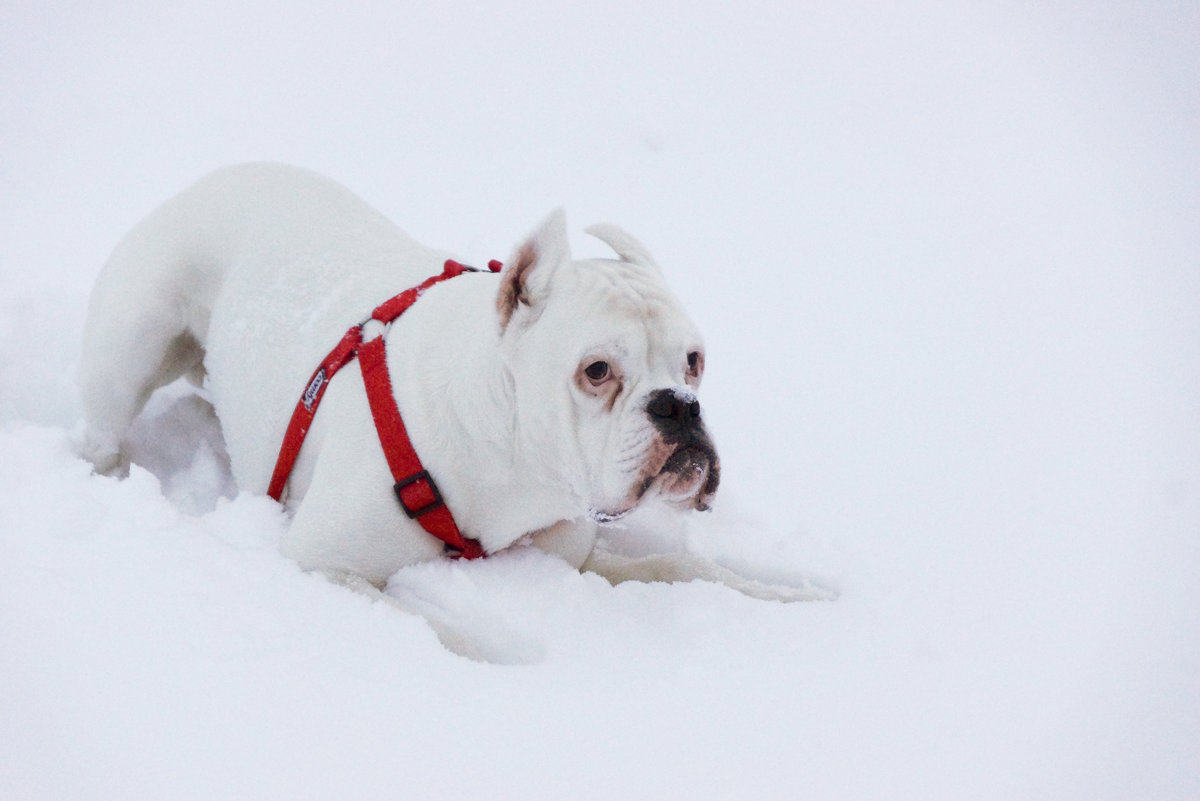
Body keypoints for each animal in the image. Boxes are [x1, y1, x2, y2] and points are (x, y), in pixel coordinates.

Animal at [77, 163, 825, 657]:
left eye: (696, 361)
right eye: (597, 371)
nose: (679, 407)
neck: (513, 461)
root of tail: (216, 175)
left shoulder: (575, 552)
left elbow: (683, 567)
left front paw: (794, 600)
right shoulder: (320, 561)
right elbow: (424, 625)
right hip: (133, 343)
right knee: (105, 428)